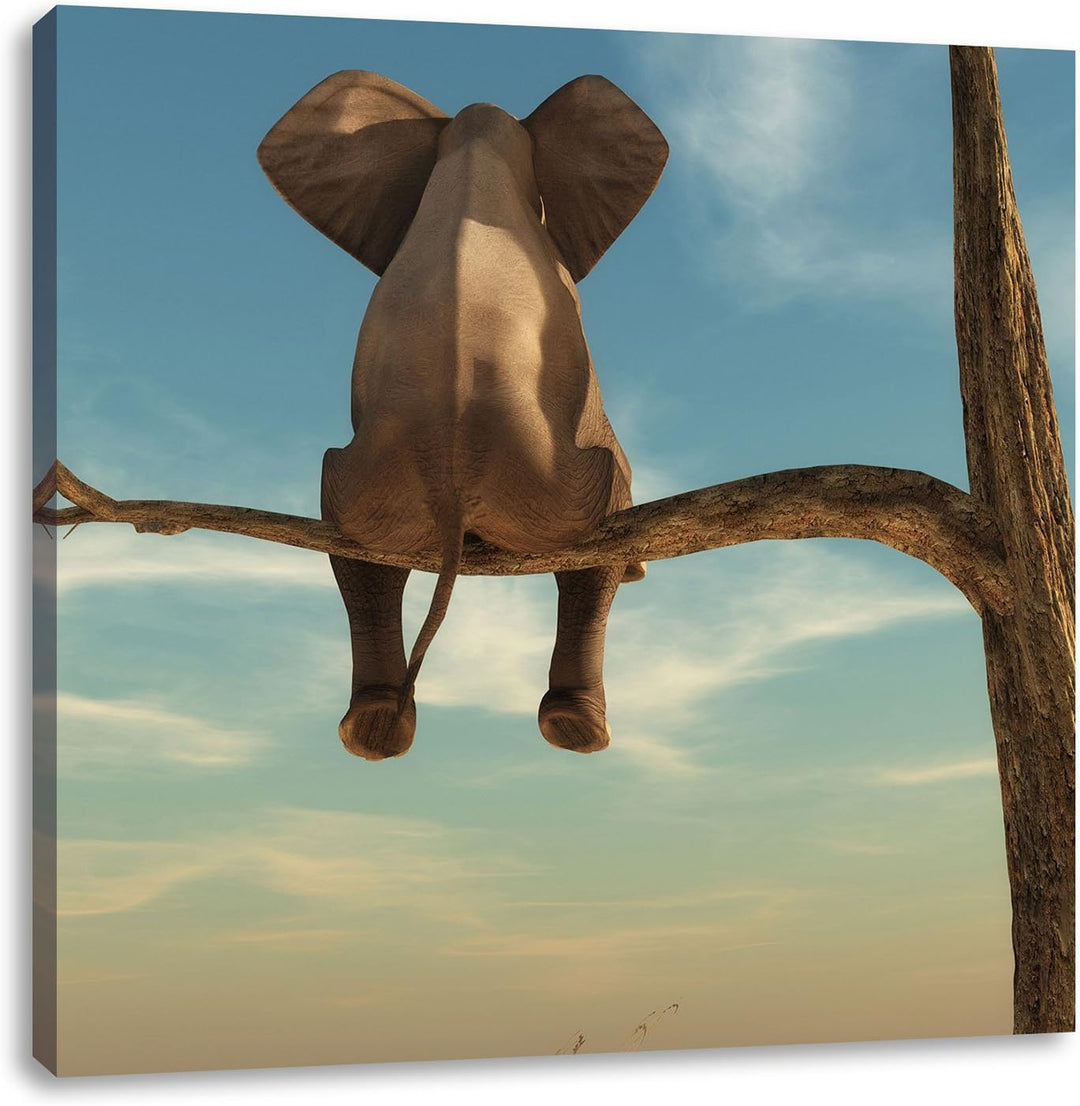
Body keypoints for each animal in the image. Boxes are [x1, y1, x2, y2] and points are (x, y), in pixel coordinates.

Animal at [257, 71, 668, 760]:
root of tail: (449, 479)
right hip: (554, 486)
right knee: (593, 538)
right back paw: (577, 730)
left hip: (371, 484)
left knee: (356, 549)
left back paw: (374, 729)